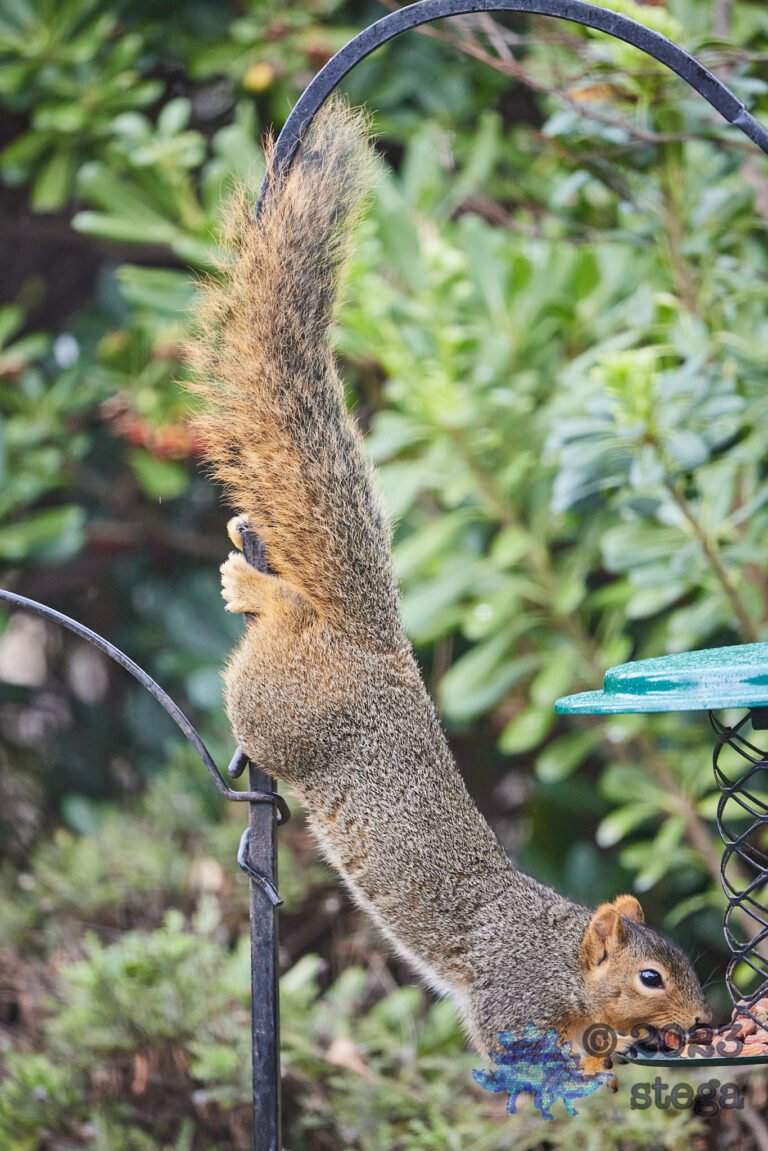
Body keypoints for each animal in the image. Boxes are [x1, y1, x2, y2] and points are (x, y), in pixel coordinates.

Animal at [187, 97, 712, 1074]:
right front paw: (600, 1055)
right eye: (652, 977)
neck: (560, 952)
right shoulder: (510, 993)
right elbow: (515, 1046)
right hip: (283, 716)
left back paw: (253, 581)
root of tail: (374, 640)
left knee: (285, 607)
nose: (701, 1020)